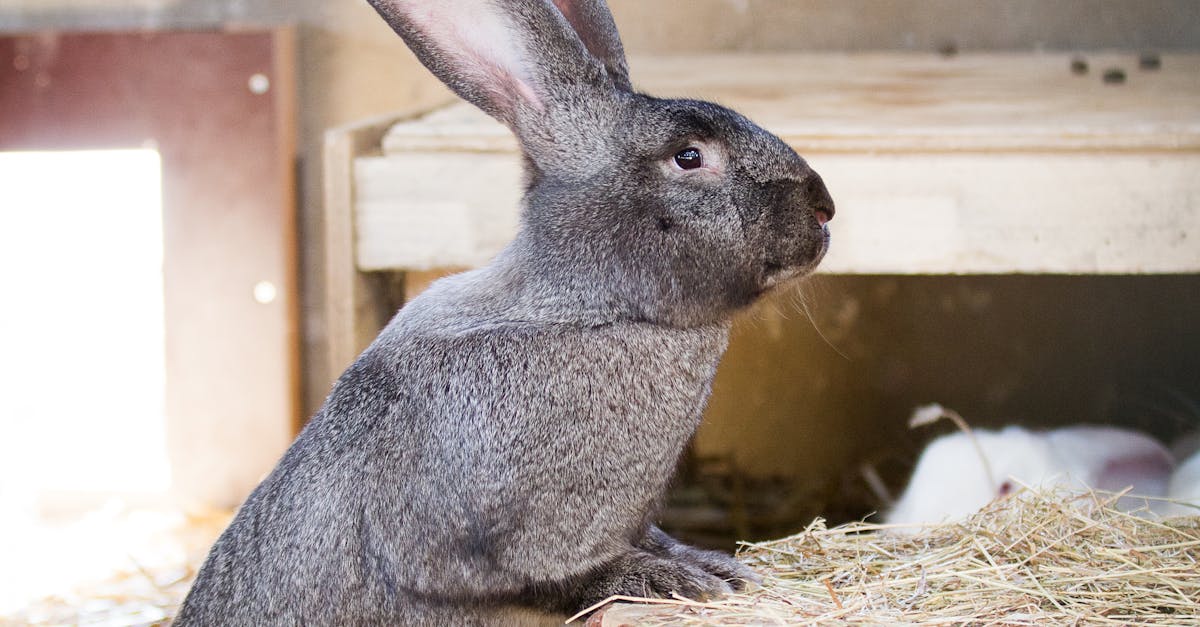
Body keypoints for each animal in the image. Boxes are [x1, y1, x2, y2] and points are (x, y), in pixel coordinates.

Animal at [174, 0, 834, 625]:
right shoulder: (479, 544)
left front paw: (714, 566)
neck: (593, 308)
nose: (825, 208)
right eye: (689, 157)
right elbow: (563, 578)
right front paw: (679, 581)